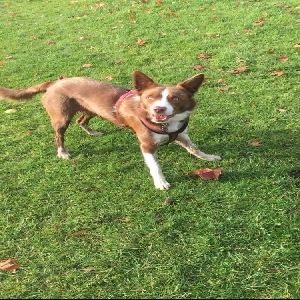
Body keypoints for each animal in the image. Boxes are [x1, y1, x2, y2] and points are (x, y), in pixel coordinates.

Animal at [0, 71, 220, 189]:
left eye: (175, 98)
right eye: (150, 97)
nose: (158, 109)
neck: (165, 125)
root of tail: (55, 82)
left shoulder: (181, 134)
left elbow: (194, 148)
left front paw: (208, 157)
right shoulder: (147, 145)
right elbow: (155, 166)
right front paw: (161, 183)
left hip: (91, 110)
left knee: (81, 120)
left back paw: (92, 132)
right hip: (61, 117)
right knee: (58, 135)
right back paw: (63, 152)